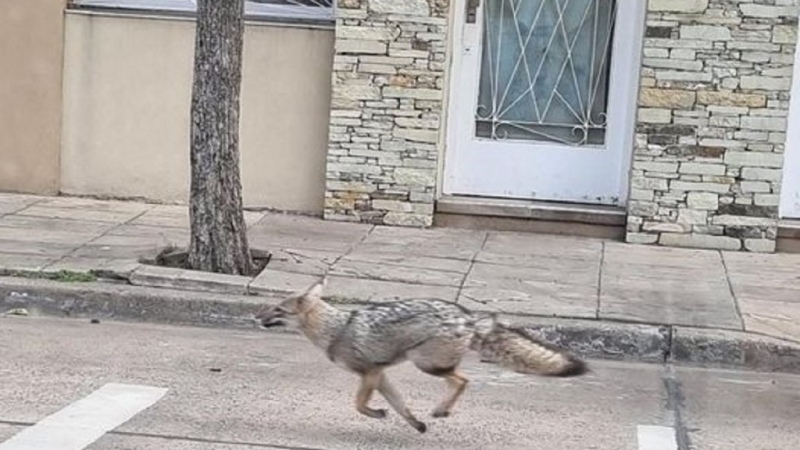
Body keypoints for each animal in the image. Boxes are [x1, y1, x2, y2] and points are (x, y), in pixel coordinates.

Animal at [256, 282, 588, 432]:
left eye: (277, 310)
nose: (256, 316)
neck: (337, 328)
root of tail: (468, 317)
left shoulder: (369, 373)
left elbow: (359, 405)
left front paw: (378, 414)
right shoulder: (380, 374)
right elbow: (399, 405)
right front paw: (415, 424)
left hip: (427, 364)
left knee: (462, 380)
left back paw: (442, 409)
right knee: (461, 380)